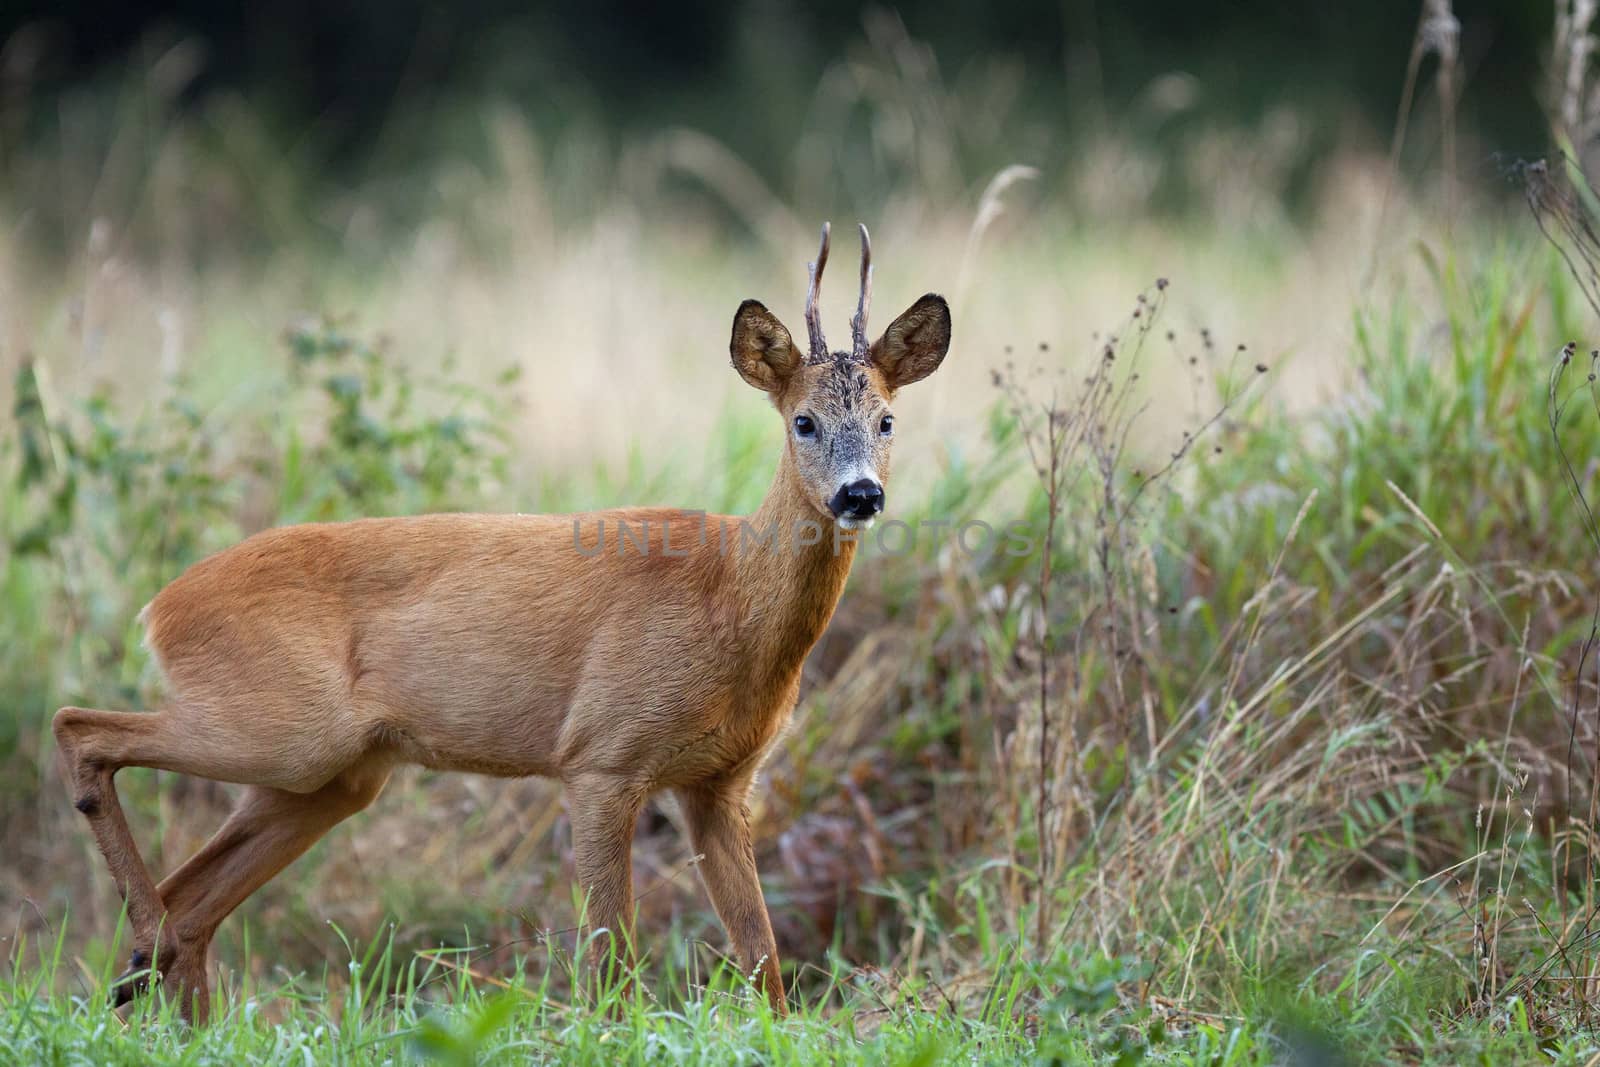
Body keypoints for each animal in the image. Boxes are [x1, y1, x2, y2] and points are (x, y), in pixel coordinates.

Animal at [53, 220, 947, 1023]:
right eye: (803, 420)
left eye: (887, 420)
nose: (859, 493)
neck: (729, 601)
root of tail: (160, 606)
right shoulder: (601, 754)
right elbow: (611, 965)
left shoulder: (720, 781)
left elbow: (765, 966)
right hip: (281, 725)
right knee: (80, 728)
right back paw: (141, 958)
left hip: (334, 771)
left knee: (194, 897)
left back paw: (166, 999)